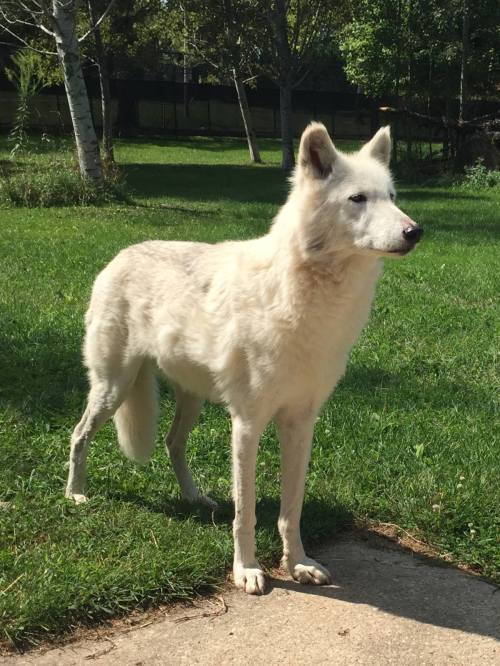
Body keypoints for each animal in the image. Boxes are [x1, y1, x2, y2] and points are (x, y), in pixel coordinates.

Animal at [66, 123, 422, 595]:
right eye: (358, 199)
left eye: (392, 196)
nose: (415, 231)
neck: (310, 300)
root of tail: (120, 255)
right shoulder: (247, 425)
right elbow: (246, 512)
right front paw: (247, 571)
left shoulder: (301, 423)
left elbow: (291, 510)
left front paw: (298, 564)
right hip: (113, 389)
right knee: (79, 435)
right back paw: (75, 494)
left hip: (189, 399)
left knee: (172, 442)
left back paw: (195, 498)